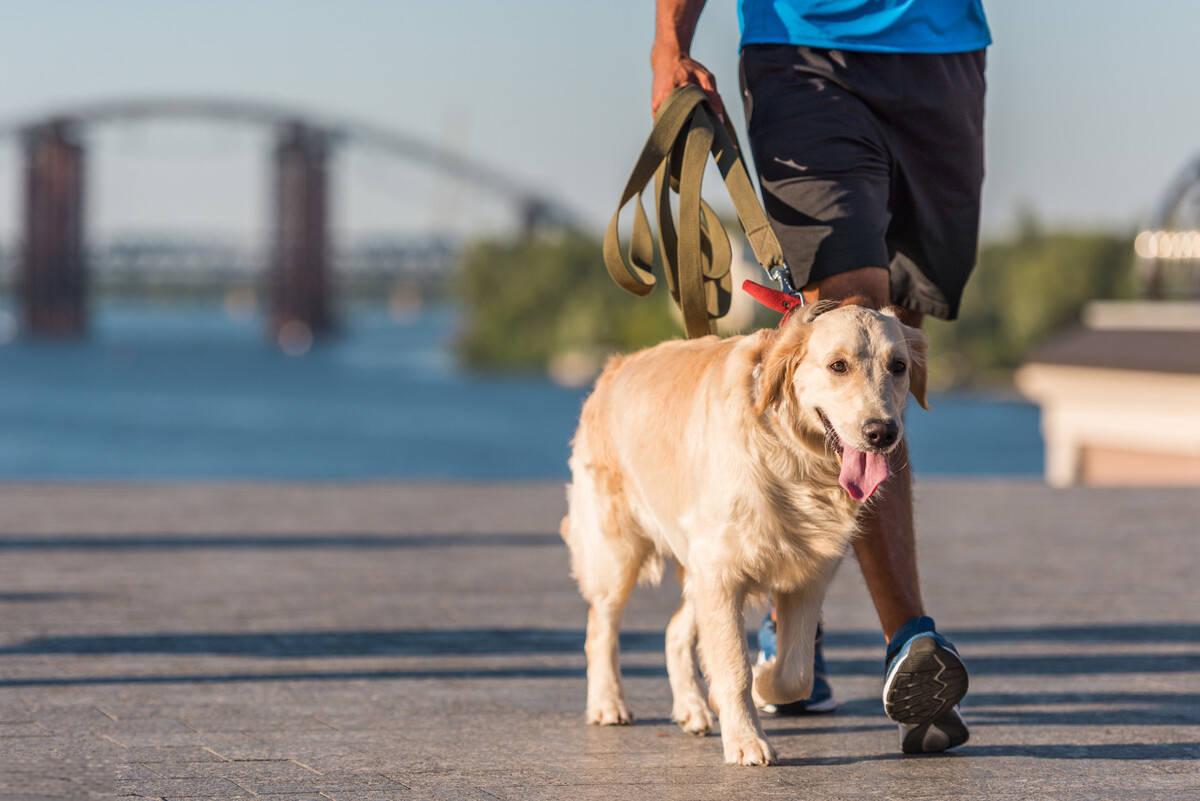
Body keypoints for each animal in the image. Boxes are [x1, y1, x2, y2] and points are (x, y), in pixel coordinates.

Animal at [559, 298, 926, 762]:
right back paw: (608, 702)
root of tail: (614, 366)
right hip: (617, 550)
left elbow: (796, 673)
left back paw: (692, 707)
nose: (882, 432)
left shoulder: (807, 576)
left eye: (898, 366)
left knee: (674, 631)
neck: (796, 461)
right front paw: (747, 740)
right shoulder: (721, 570)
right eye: (838, 366)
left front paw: (764, 683)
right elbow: (734, 666)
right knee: (600, 627)